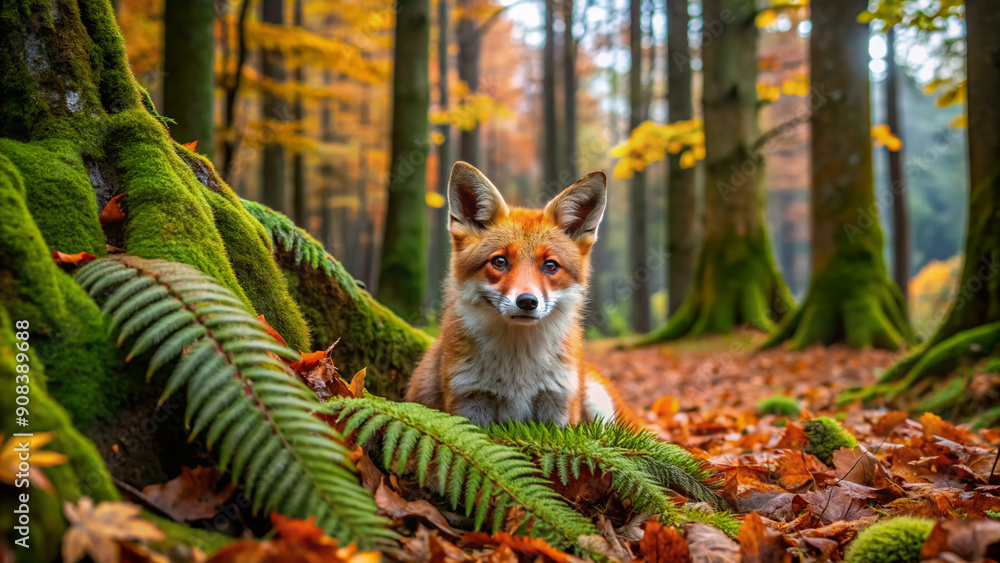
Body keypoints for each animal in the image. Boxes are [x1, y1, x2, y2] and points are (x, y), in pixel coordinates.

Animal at [405, 161, 637, 428]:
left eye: (550, 266)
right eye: (499, 262)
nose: (527, 301)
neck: (517, 374)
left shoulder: (558, 405)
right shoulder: (468, 401)